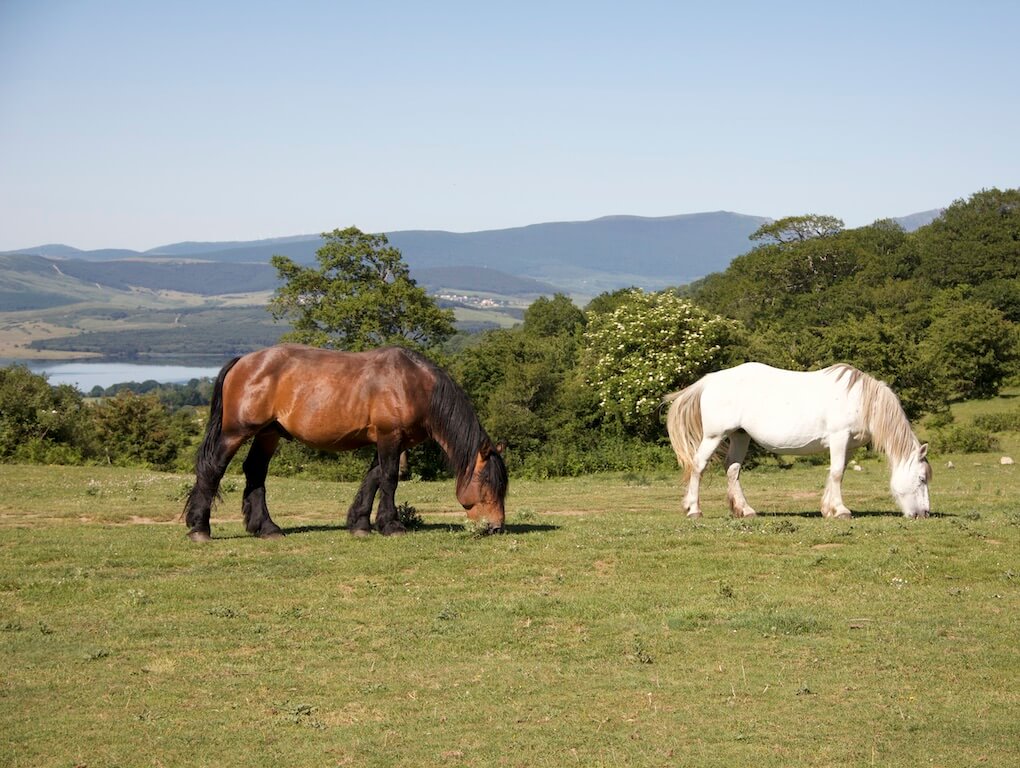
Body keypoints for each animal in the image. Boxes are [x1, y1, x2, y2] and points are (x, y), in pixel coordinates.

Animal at [183, 344, 508, 541]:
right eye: (487, 484)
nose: (496, 526)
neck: (413, 385)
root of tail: (244, 361)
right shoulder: (390, 437)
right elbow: (389, 479)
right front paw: (391, 525)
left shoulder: (392, 441)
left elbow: (373, 479)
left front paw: (360, 524)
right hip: (235, 432)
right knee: (213, 469)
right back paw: (200, 528)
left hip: (268, 433)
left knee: (255, 473)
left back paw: (267, 528)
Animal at [663, 362, 931, 520]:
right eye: (921, 478)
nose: (924, 513)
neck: (861, 399)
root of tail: (709, 380)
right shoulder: (839, 437)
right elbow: (837, 473)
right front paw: (841, 511)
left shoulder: (848, 445)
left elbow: (837, 472)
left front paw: (828, 509)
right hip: (713, 436)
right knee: (698, 466)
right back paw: (694, 510)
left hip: (740, 436)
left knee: (733, 469)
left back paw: (745, 510)